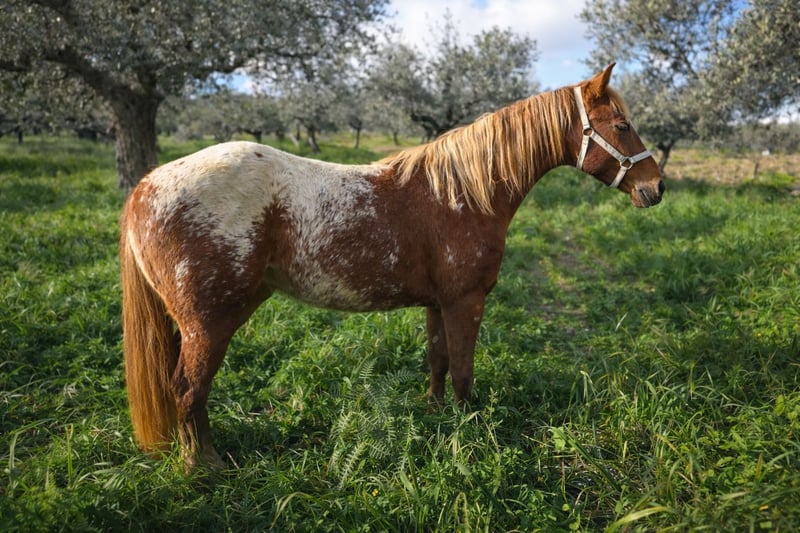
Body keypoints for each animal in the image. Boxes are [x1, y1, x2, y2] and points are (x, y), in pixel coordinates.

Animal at [120, 64, 664, 469]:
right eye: (622, 126)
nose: (656, 187)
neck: (463, 193)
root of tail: (148, 184)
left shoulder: (437, 303)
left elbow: (438, 362)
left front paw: (436, 416)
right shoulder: (466, 301)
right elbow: (463, 372)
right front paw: (465, 433)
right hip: (209, 322)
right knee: (188, 389)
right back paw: (203, 467)